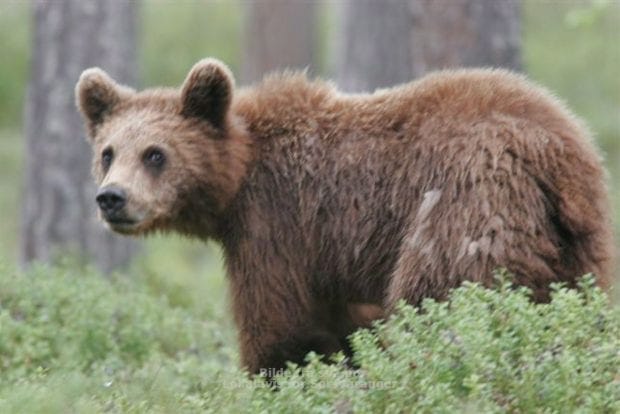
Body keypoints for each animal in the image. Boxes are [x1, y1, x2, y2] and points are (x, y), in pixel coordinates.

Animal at [75, 57, 612, 376]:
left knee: (438, 296)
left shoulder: (277, 224)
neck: (239, 178)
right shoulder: (329, 261)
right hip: (578, 241)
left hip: (466, 204)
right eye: (108, 152)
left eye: (155, 154)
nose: (112, 198)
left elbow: (282, 328)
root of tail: (552, 153)